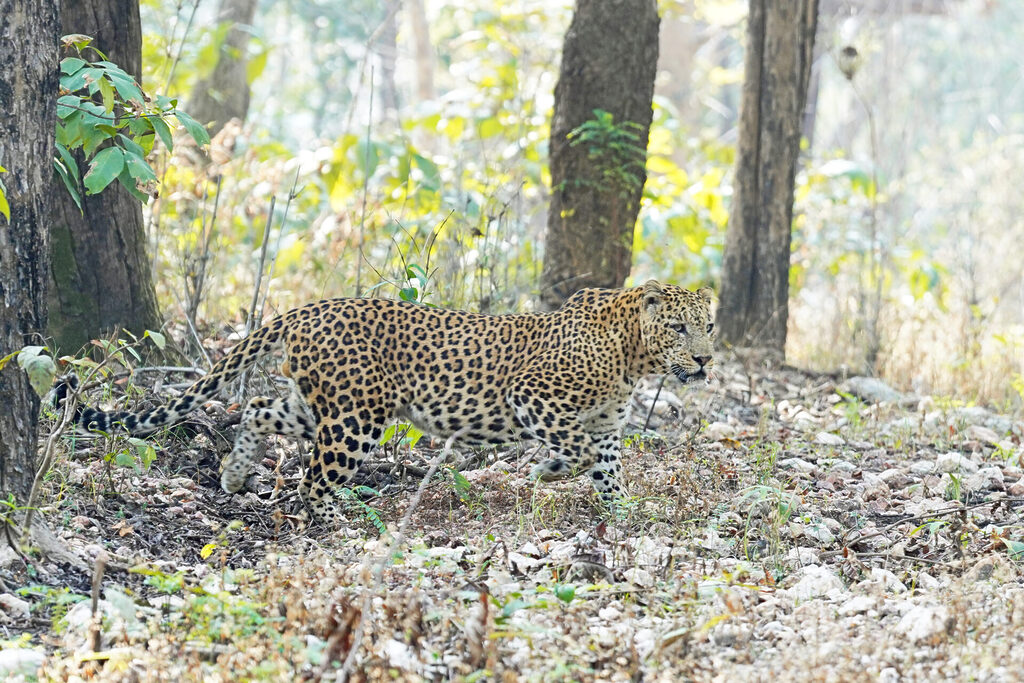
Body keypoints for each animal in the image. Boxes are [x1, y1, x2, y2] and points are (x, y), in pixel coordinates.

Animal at [57, 280, 715, 524]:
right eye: (679, 328)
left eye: (708, 325)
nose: (707, 360)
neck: (633, 358)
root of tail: (307, 309)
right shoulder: (535, 397)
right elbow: (575, 451)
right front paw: (551, 470)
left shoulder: (606, 427)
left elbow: (608, 470)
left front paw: (624, 515)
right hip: (355, 421)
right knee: (313, 484)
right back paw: (336, 527)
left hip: (324, 406)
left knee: (259, 409)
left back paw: (235, 475)